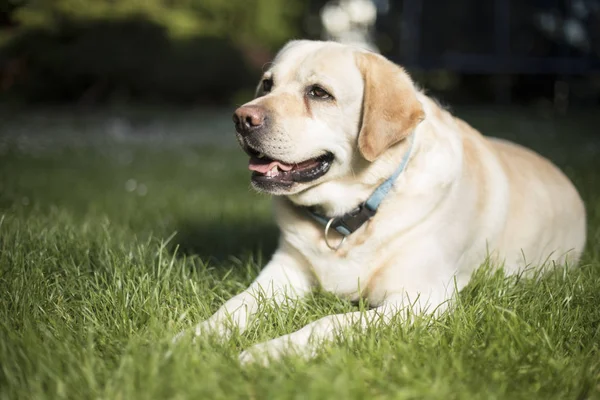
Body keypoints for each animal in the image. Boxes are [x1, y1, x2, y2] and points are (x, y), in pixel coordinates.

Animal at [180, 39, 584, 362]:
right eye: (267, 84)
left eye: (319, 93)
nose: (241, 118)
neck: (350, 215)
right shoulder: (282, 274)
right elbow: (234, 305)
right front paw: (192, 339)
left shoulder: (422, 299)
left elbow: (328, 322)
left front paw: (269, 351)